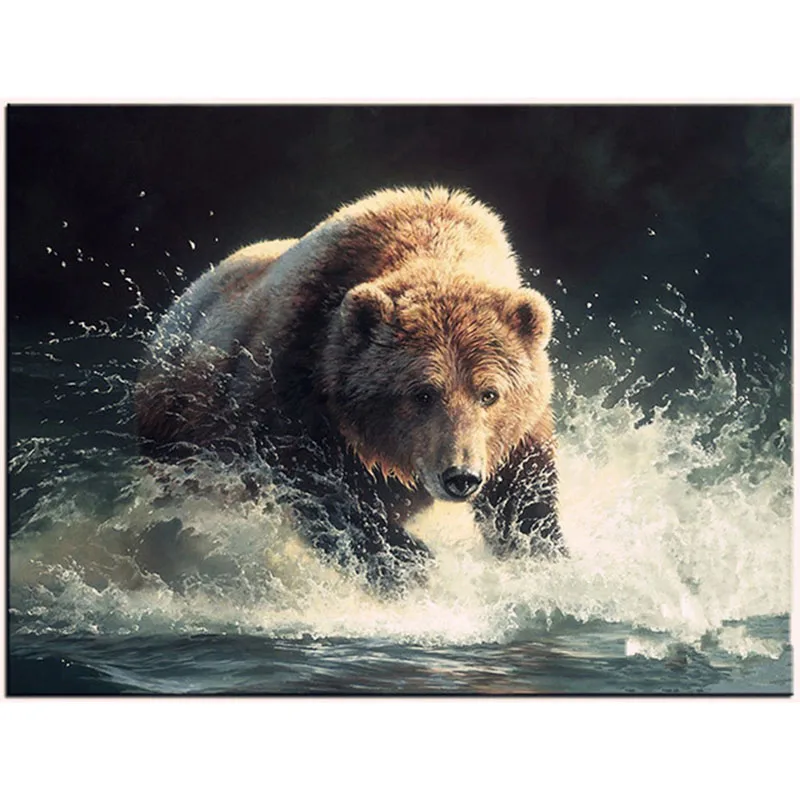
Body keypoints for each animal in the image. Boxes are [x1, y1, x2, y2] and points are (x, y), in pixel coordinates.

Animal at [135, 186, 564, 594]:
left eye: (489, 394)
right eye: (423, 393)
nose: (461, 476)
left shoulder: (518, 430)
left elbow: (523, 492)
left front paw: (541, 553)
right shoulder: (296, 384)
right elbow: (314, 486)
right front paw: (407, 560)